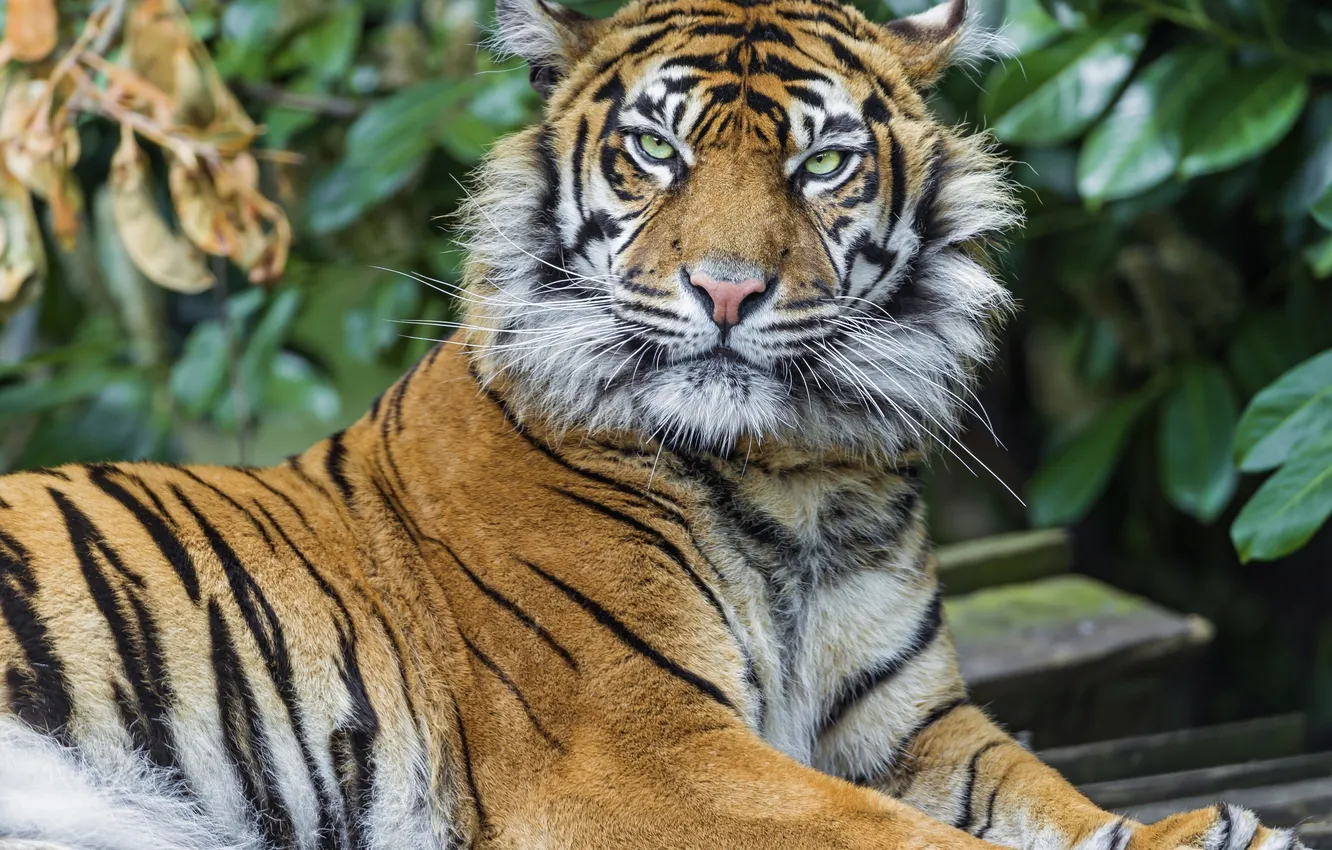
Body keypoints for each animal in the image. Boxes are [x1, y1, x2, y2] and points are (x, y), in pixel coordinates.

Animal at [0, 0, 1304, 848]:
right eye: (654, 151)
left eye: (822, 162)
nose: (727, 290)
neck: (799, 468)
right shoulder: (644, 744)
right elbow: (900, 836)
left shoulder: (913, 721)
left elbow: (1043, 791)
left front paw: (1205, 828)